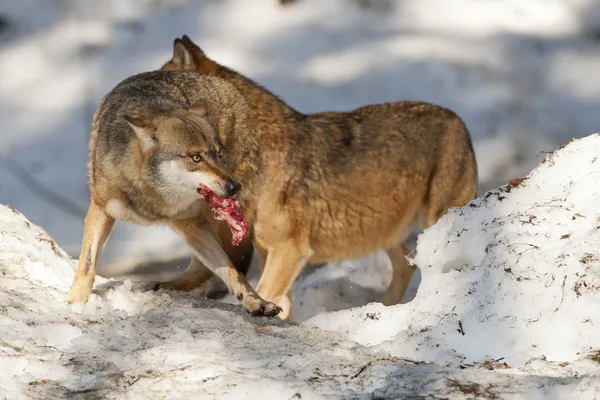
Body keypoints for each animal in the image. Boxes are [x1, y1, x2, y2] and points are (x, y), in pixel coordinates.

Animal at [65, 70, 282, 318]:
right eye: (196, 157)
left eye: (218, 155)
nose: (234, 187)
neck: (151, 195)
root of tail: (226, 84)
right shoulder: (101, 208)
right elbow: (87, 265)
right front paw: (75, 302)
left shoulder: (191, 222)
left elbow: (230, 270)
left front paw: (255, 302)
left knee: (208, 267)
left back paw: (168, 285)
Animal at [163, 36, 478, 320]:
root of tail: (460, 121)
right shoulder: (270, 252)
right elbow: (281, 306)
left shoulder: (290, 250)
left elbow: (263, 293)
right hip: (384, 231)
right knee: (406, 266)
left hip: (434, 223)